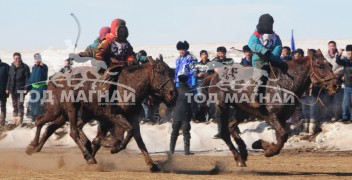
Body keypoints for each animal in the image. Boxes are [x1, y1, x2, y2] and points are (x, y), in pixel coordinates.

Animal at [26, 56, 177, 172]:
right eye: (160, 71)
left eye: (171, 71)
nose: (173, 94)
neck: (130, 86)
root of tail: (54, 79)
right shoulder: (113, 117)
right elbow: (124, 134)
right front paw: (113, 146)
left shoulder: (129, 119)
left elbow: (138, 139)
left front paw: (152, 164)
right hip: (68, 109)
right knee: (69, 130)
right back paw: (88, 156)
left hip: (64, 114)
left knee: (48, 125)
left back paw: (34, 147)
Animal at [205, 48, 340, 166]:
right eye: (319, 65)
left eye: (330, 65)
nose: (335, 85)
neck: (284, 83)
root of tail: (214, 75)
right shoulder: (271, 115)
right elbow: (283, 135)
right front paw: (268, 150)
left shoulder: (282, 118)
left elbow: (281, 138)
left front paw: (260, 144)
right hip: (222, 106)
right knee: (224, 132)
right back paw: (238, 158)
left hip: (243, 110)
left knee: (231, 126)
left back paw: (243, 152)